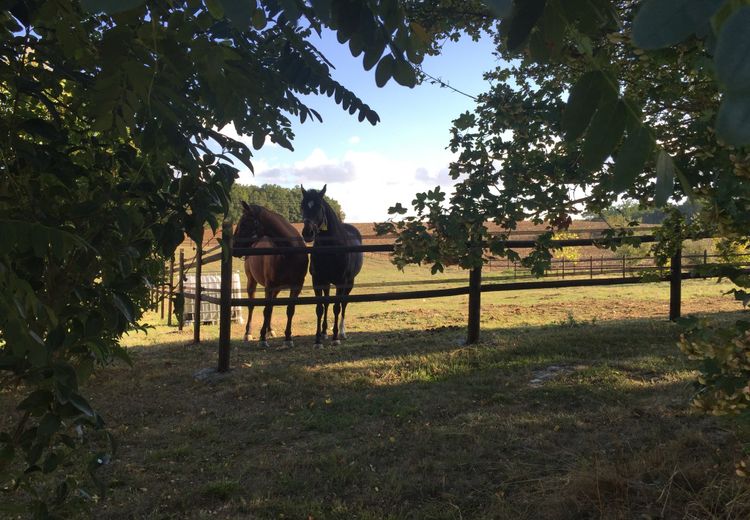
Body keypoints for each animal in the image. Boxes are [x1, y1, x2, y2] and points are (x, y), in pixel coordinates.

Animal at [232, 201, 308, 348]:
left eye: (244, 223)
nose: (234, 247)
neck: (290, 252)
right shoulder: (269, 286)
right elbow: (266, 309)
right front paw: (262, 339)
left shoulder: (296, 286)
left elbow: (290, 310)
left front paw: (288, 338)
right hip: (252, 281)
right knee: (252, 306)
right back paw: (248, 333)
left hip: (277, 289)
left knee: (272, 307)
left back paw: (270, 330)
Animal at [300, 185, 364, 348]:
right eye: (302, 206)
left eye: (319, 207)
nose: (307, 233)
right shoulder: (318, 281)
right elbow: (320, 308)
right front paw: (318, 340)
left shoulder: (341, 282)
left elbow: (337, 307)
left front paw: (335, 338)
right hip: (327, 283)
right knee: (327, 303)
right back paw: (324, 333)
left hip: (349, 283)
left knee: (343, 304)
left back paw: (342, 332)